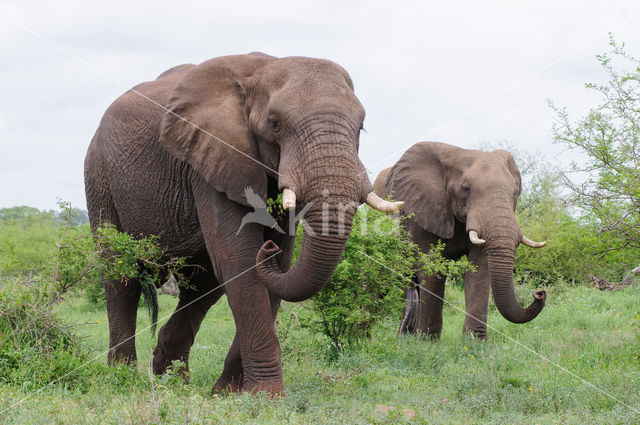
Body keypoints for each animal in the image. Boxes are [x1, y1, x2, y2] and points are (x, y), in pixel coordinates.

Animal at [84, 52, 400, 394]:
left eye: (361, 127)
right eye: (274, 124)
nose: (269, 245)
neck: (260, 72)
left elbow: (275, 269)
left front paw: (226, 393)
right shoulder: (213, 156)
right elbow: (240, 261)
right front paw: (266, 396)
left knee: (203, 285)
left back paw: (174, 379)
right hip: (99, 176)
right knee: (121, 277)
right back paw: (123, 376)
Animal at [372, 142, 548, 338]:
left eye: (515, 193)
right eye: (465, 189)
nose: (540, 293)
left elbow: (479, 270)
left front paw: (475, 342)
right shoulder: (421, 211)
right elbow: (432, 269)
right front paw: (427, 340)